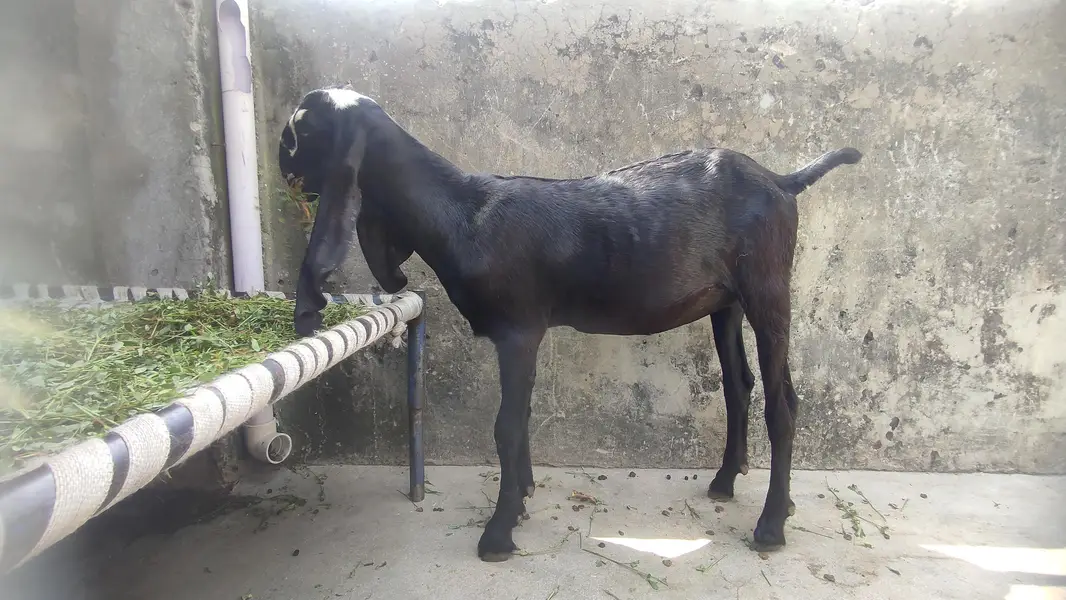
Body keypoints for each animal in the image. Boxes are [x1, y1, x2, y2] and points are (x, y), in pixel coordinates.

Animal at [278, 88, 862, 562]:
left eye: (297, 132)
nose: (285, 172)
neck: (463, 212)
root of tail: (782, 181)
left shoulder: (518, 330)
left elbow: (505, 425)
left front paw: (498, 533)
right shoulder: (525, 336)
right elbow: (522, 416)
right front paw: (523, 499)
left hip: (768, 288)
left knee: (782, 403)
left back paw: (771, 526)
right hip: (727, 302)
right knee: (741, 384)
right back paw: (728, 484)